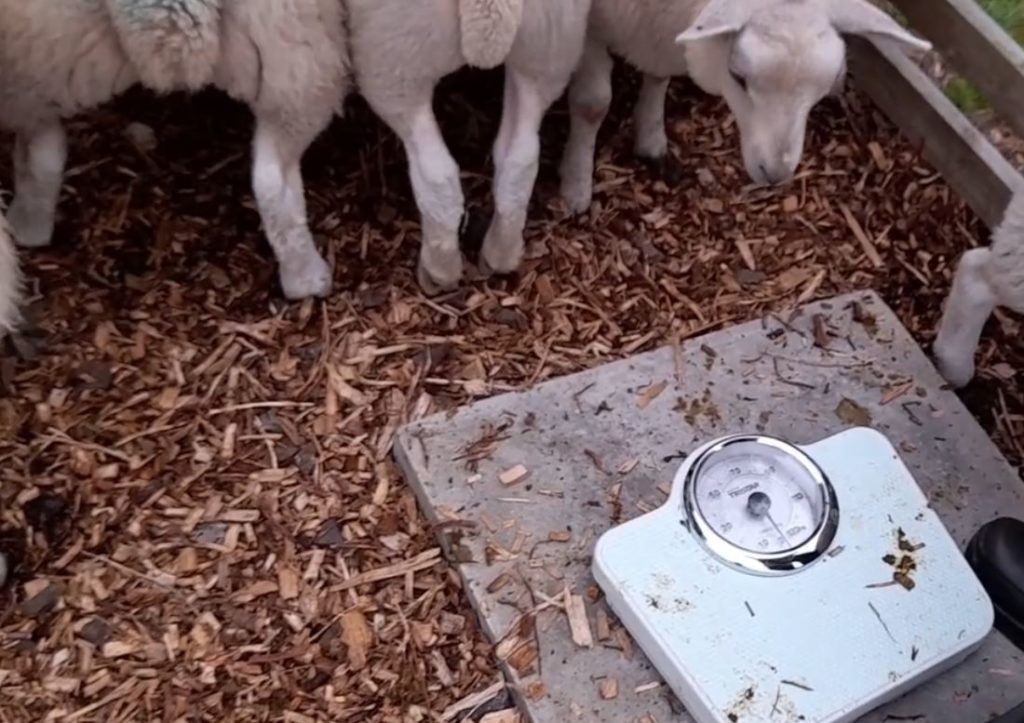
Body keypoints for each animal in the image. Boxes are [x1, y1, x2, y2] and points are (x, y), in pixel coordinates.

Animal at [1, 0, 348, 299]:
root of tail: (163, 9)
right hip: (299, 56)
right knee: (274, 177)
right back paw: (307, 279)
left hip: (49, 57)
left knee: (39, 149)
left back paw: (27, 224)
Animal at [348, 0, 593, 290]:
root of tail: (491, 5)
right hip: (550, 46)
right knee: (520, 159)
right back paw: (500, 254)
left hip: (395, 62)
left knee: (436, 175)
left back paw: (439, 272)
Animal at [557, 0, 933, 210]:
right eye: (737, 76)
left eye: (822, 90)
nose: (776, 173)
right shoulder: (587, 29)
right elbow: (593, 103)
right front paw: (575, 187)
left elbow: (658, 76)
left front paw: (651, 140)